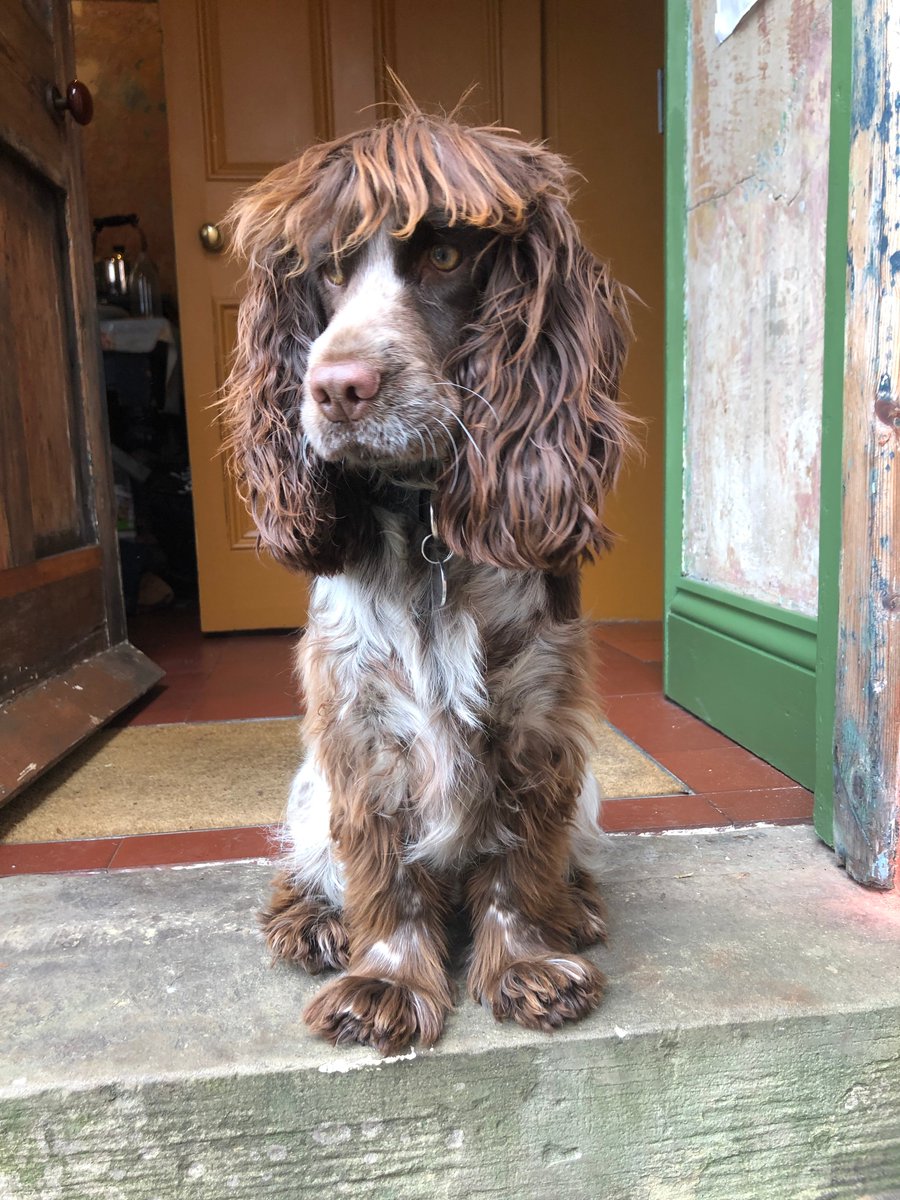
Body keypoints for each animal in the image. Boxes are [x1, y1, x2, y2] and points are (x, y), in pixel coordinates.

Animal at [224, 108, 633, 1056]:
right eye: (330, 267)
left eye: (446, 254)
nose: (335, 387)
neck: (427, 535)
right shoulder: (360, 722)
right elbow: (385, 874)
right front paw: (383, 983)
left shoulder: (537, 717)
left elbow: (519, 865)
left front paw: (528, 963)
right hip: (308, 787)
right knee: (310, 860)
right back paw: (313, 920)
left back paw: (577, 908)